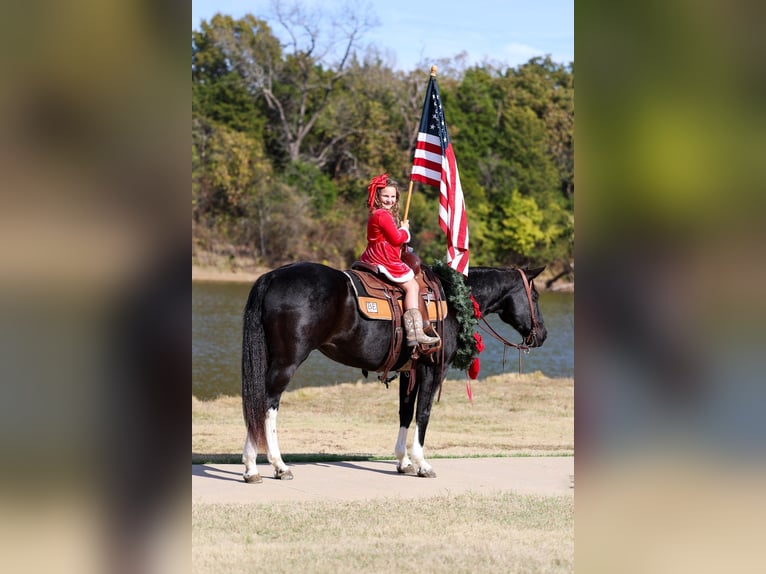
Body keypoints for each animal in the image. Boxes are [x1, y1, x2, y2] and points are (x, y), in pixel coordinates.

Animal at [241, 262, 547, 482]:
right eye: (534, 295)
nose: (542, 335)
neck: (453, 299)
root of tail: (272, 277)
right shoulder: (431, 370)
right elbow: (423, 414)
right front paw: (422, 463)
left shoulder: (409, 371)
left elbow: (405, 412)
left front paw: (403, 461)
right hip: (286, 363)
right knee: (265, 404)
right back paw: (274, 466)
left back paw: (254, 467)